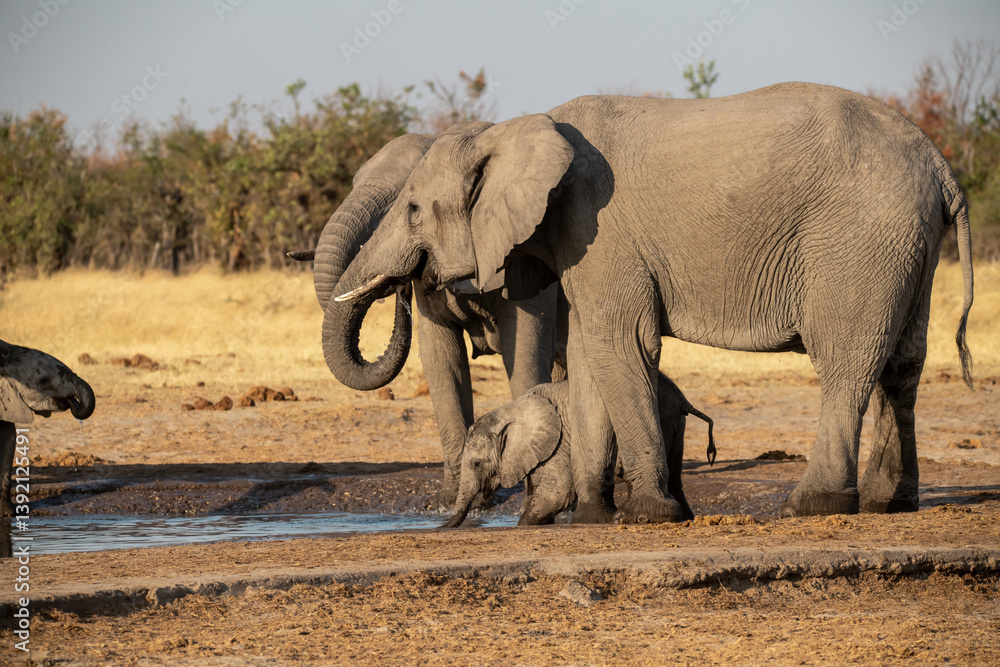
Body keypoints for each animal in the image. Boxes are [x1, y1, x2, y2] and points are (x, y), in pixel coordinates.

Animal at [445, 374, 716, 527]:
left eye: (477, 464)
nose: (441, 528)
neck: (509, 411)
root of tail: (682, 398)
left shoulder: (560, 439)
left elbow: (558, 493)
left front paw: (525, 525)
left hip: (664, 418)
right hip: (675, 424)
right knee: (675, 477)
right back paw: (685, 518)